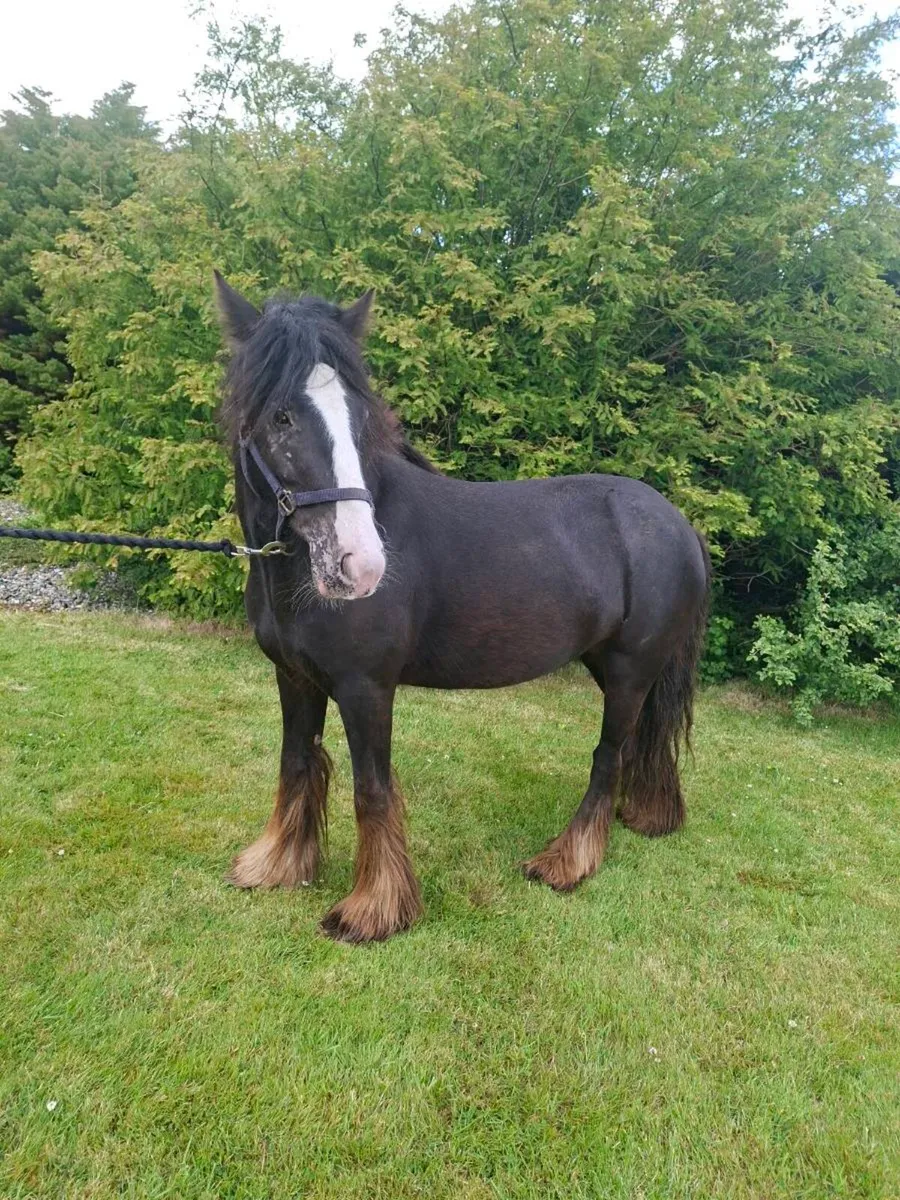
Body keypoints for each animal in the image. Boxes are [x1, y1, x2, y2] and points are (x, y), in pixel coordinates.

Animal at [213, 273, 710, 943]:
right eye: (282, 415)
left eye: (361, 415)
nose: (361, 566)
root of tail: (679, 525)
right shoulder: (294, 678)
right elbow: (296, 763)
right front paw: (277, 865)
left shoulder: (366, 687)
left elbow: (373, 789)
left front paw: (373, 909)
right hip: (612, 666)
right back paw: (646, 817)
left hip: (631, 671)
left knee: (609, 757)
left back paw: (566, 863)